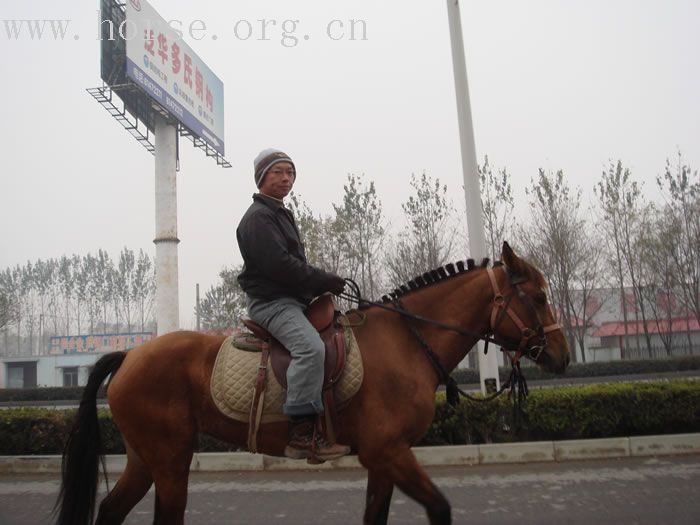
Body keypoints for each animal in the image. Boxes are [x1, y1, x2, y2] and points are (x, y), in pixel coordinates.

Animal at [53, 243, 568, 524]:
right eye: (539, 297)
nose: (563, 356)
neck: (406, 340)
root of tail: (130, 354)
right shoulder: (388, 451)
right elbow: (439, 509)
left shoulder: (385, 457)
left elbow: (374, 516)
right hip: (169, 460)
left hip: (146, 458)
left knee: (111, 511)